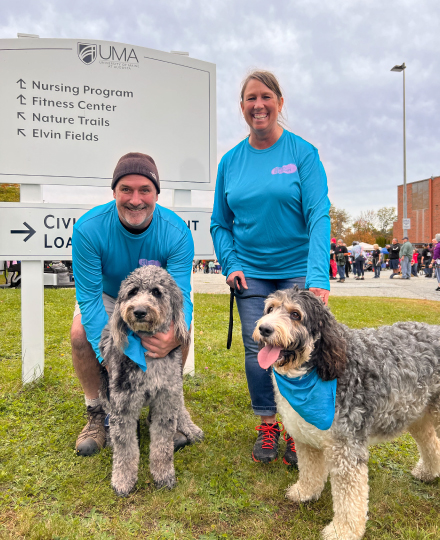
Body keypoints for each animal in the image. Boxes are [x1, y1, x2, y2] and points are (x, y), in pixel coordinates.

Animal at [99, 264, 204, 496]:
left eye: (156, 292)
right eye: (132, 292)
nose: (139, 311)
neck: (147, 354)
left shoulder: (165, 403)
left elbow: (162, 448)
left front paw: (163, 476)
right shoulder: (123, 408)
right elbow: (125, 450)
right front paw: (123, 480)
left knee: (180, 406)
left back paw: (190, 428)